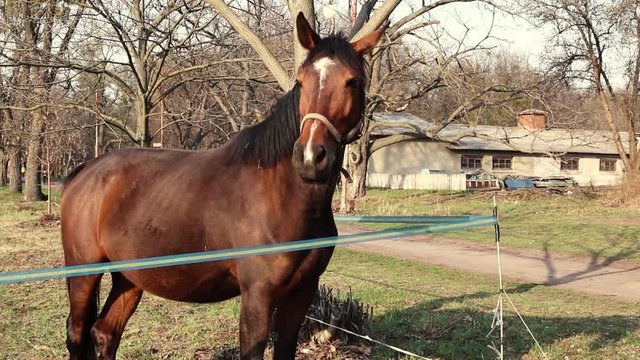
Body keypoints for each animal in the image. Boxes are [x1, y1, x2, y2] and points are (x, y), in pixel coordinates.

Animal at [62, 13, 388, 360]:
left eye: (353, 82)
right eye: (300, 82)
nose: (311, 157)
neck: (286, 199)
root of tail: (87, 171)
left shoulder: (301, 292)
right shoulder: (258, 294)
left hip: (129, 277)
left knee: (105, 332)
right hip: (84, 273)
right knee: (78, 333)